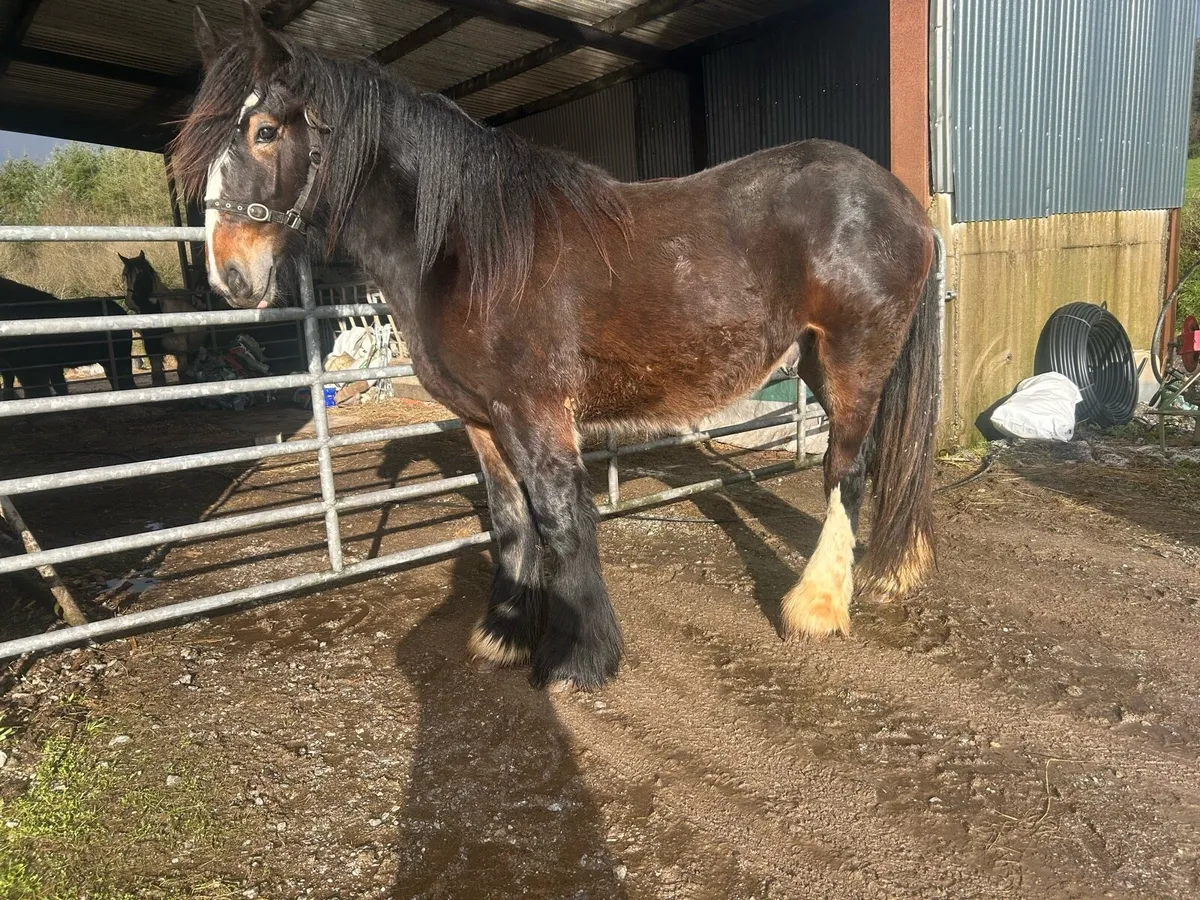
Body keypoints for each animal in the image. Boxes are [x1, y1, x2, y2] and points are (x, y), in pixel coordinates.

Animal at [119, 251, 208, 385]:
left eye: (144, 271)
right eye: (125, 274)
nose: (132, 300)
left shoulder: (181, 353)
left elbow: (182, 374)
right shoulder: (154, 354)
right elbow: (157, 377)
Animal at [173, 4, 940, 691]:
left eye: (264, 130)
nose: (228, 275)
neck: (468, 250)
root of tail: (903, 202)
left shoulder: (535, 414)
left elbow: (562, 524)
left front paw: (581, 659)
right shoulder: (482, 420)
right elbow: (510, 523)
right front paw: (505, 633)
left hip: (853, 361)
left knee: (847, 469)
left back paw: (817, 605)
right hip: (820, 362)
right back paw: (896, 568)